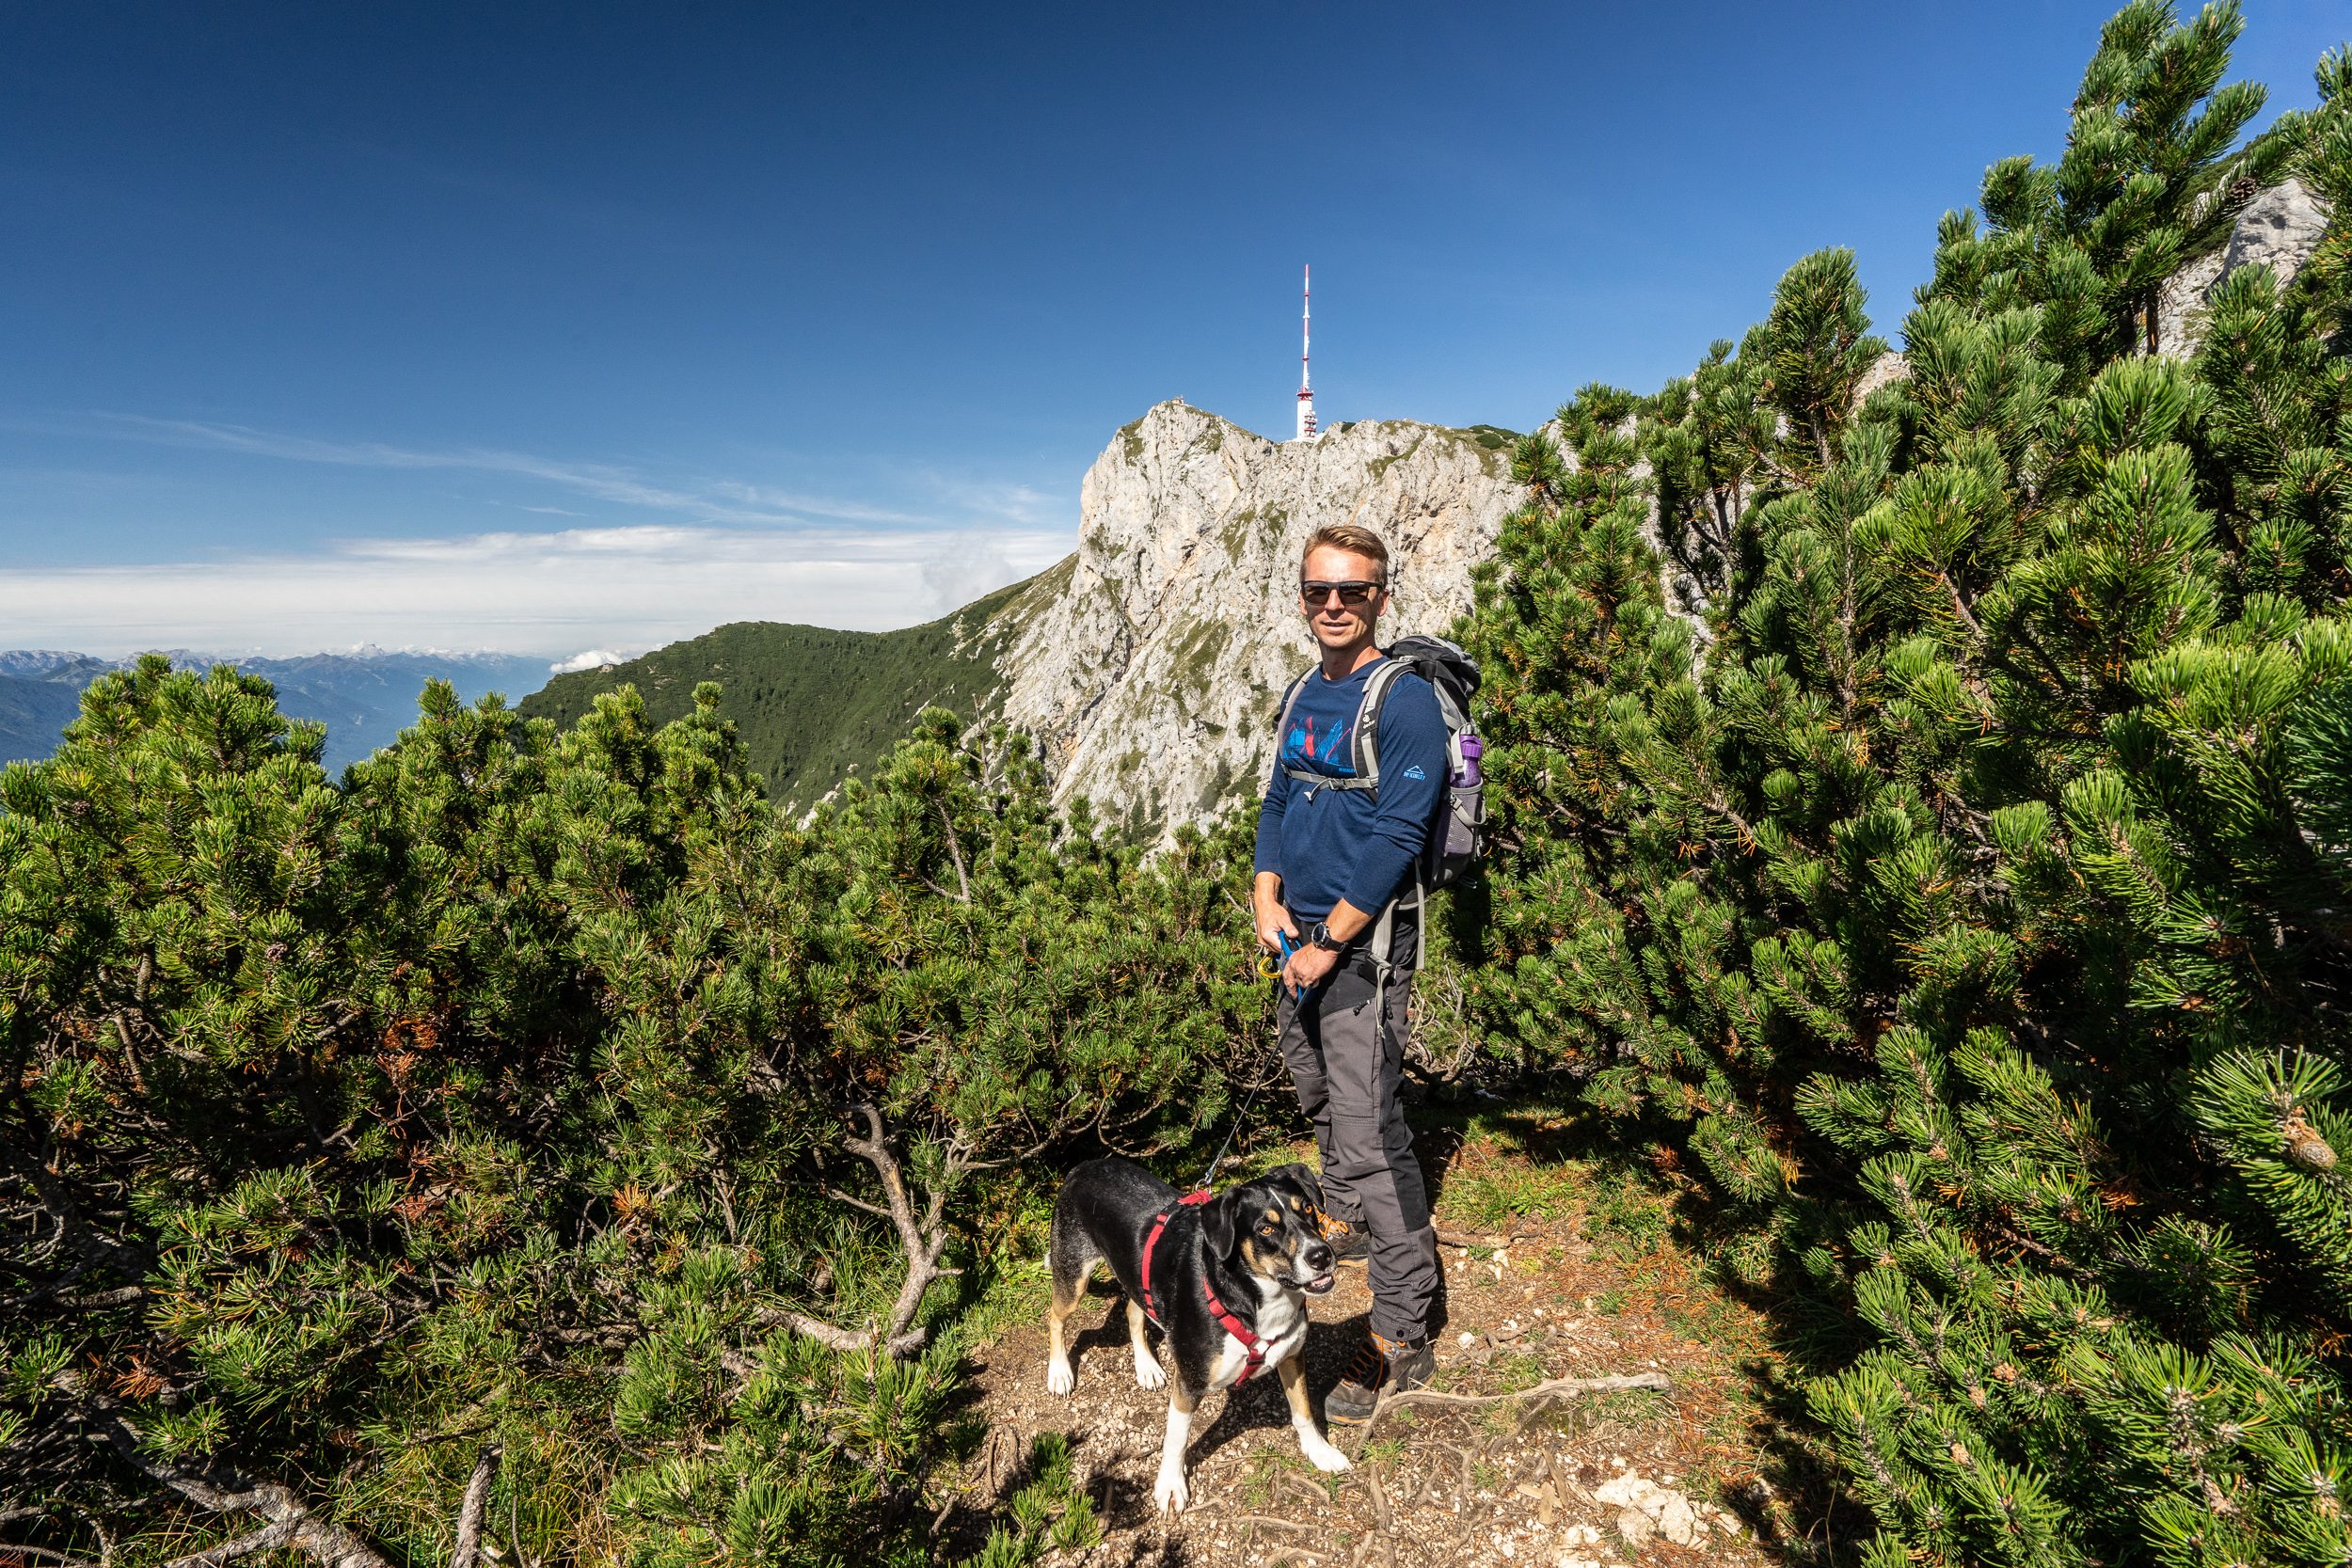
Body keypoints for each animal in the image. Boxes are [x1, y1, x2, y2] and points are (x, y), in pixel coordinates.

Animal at [1044, 1161, 1355, 1513]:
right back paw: (1059, 1372)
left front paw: (1320, 1452)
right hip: (1074, 1278)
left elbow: (1303, 1411)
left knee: (1134, 1311)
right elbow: (1176, 1439)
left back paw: (1146, 1366)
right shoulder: (1190, 1383)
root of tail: (1083, 1166)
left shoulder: (1291, 1356)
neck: (1253, 1297)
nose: (1322, 1255)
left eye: (1307, 1209)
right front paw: (1170, 1484)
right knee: (1056, 1318)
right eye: (1265, 1229)